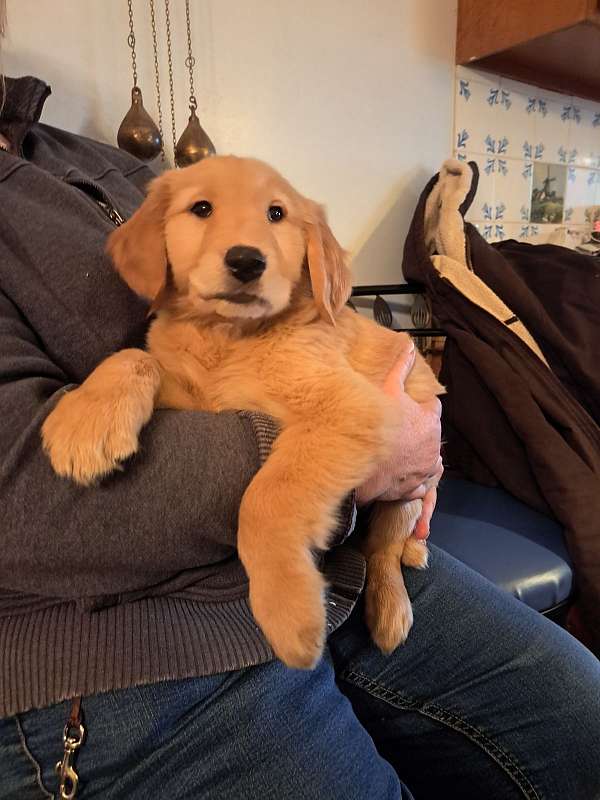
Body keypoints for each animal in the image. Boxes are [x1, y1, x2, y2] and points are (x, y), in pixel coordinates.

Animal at [42, 156, 442, 668]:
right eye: (201, 208)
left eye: (277, 214)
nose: (247, 260)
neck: (228, 338)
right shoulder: (193, 398)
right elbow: (134, 357)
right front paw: (84, 422)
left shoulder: (348, 407)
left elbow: (265, 499)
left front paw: (289, 608)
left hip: (412, 489)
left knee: (383, 552)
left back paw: (392, 607)